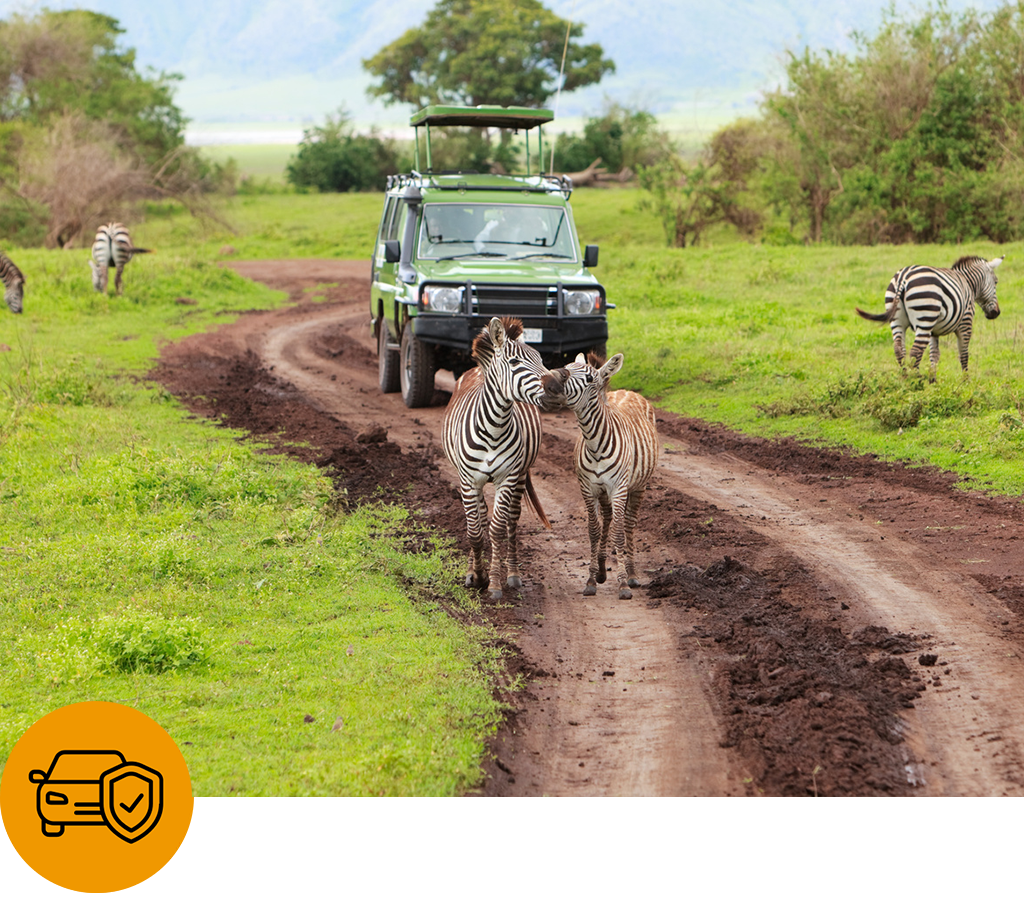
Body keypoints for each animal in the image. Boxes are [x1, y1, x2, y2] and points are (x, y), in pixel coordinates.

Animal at [442, 315, 563, 600]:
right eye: (515, 362)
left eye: (541, 359)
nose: (556, 388)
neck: (493, 428)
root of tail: (476, 370)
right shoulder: (468, 481)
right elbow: (474, 531)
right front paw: (477, 575)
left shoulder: (507, 478)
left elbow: (497, 529)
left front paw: (494, 582)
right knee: (479, 516)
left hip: (520, 475)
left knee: (511, 520)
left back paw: (513, 574)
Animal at [555, 351, 659, 599]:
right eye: (566, 367)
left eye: (589, 379)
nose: (553, 380)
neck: (595, 444)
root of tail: (628, 391)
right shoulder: (588, 488)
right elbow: (594, 531)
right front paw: (591, 579)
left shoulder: (618, 488)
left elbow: (619, 533)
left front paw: (623, 584)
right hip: (604, 492)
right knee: (608, 518)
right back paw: (603, 570)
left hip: (638, 486)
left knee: (628, 523)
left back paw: (632, 574)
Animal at [857, 255, 1004, 381]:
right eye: (996, 282)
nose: (996, 313)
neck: (968, 283)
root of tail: (903, 277)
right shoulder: (965, 323)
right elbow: (963, 354)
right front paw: (965, 381)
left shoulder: (934, 331)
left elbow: (934, 354)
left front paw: (933, 381)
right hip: (925, 318)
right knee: (915, 351)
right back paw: (916, 380)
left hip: (897, 319)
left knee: (899, 349)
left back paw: (904, 378)